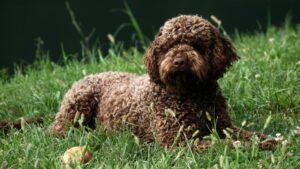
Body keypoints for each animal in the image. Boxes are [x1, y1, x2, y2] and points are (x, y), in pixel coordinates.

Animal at [48, 14, 276, 149]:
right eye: (168, 46)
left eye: (196, 45)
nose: (179, 61)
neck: (190, 95)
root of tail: (90, 75)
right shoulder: (176, 141)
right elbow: (220, 145)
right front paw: (242, 147)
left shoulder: (223, 125)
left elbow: (249, 135)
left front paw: (268, 141)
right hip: (79, 104)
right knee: (57, 130)